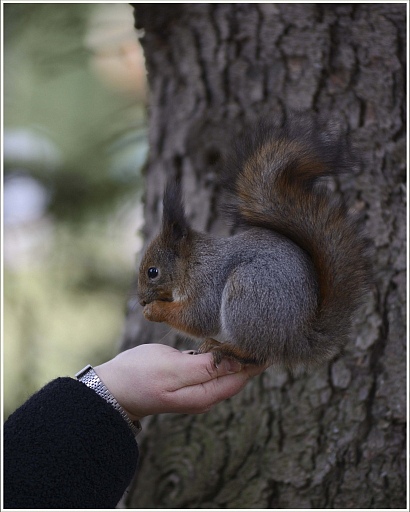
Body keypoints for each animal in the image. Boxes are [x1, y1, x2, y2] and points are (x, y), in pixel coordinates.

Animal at [138, 118, 372, 370]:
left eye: (153, 272)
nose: (141, 301)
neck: (192, 262)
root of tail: (295, 342)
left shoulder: (206, 283)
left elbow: (198, 317)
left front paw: (154, 310)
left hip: (247, 294)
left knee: (255, 351)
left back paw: (224, 347)